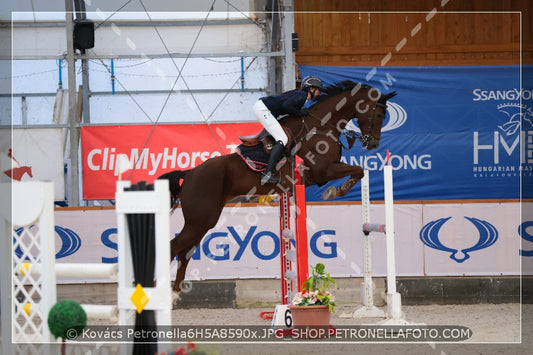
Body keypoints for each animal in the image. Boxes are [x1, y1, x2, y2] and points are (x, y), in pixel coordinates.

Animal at [157, 80, 394, 304]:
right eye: (379, 114)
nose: (373, 144)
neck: (320, 125)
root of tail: (190, 173)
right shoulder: (324, 169)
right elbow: (358, 170)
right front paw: (336, 191)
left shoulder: (315, 175)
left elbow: (357, 171)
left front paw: (334, 190)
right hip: (200, 219)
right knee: (174, 247)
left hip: (202, 222)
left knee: (185, 252)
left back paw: (175, 293)